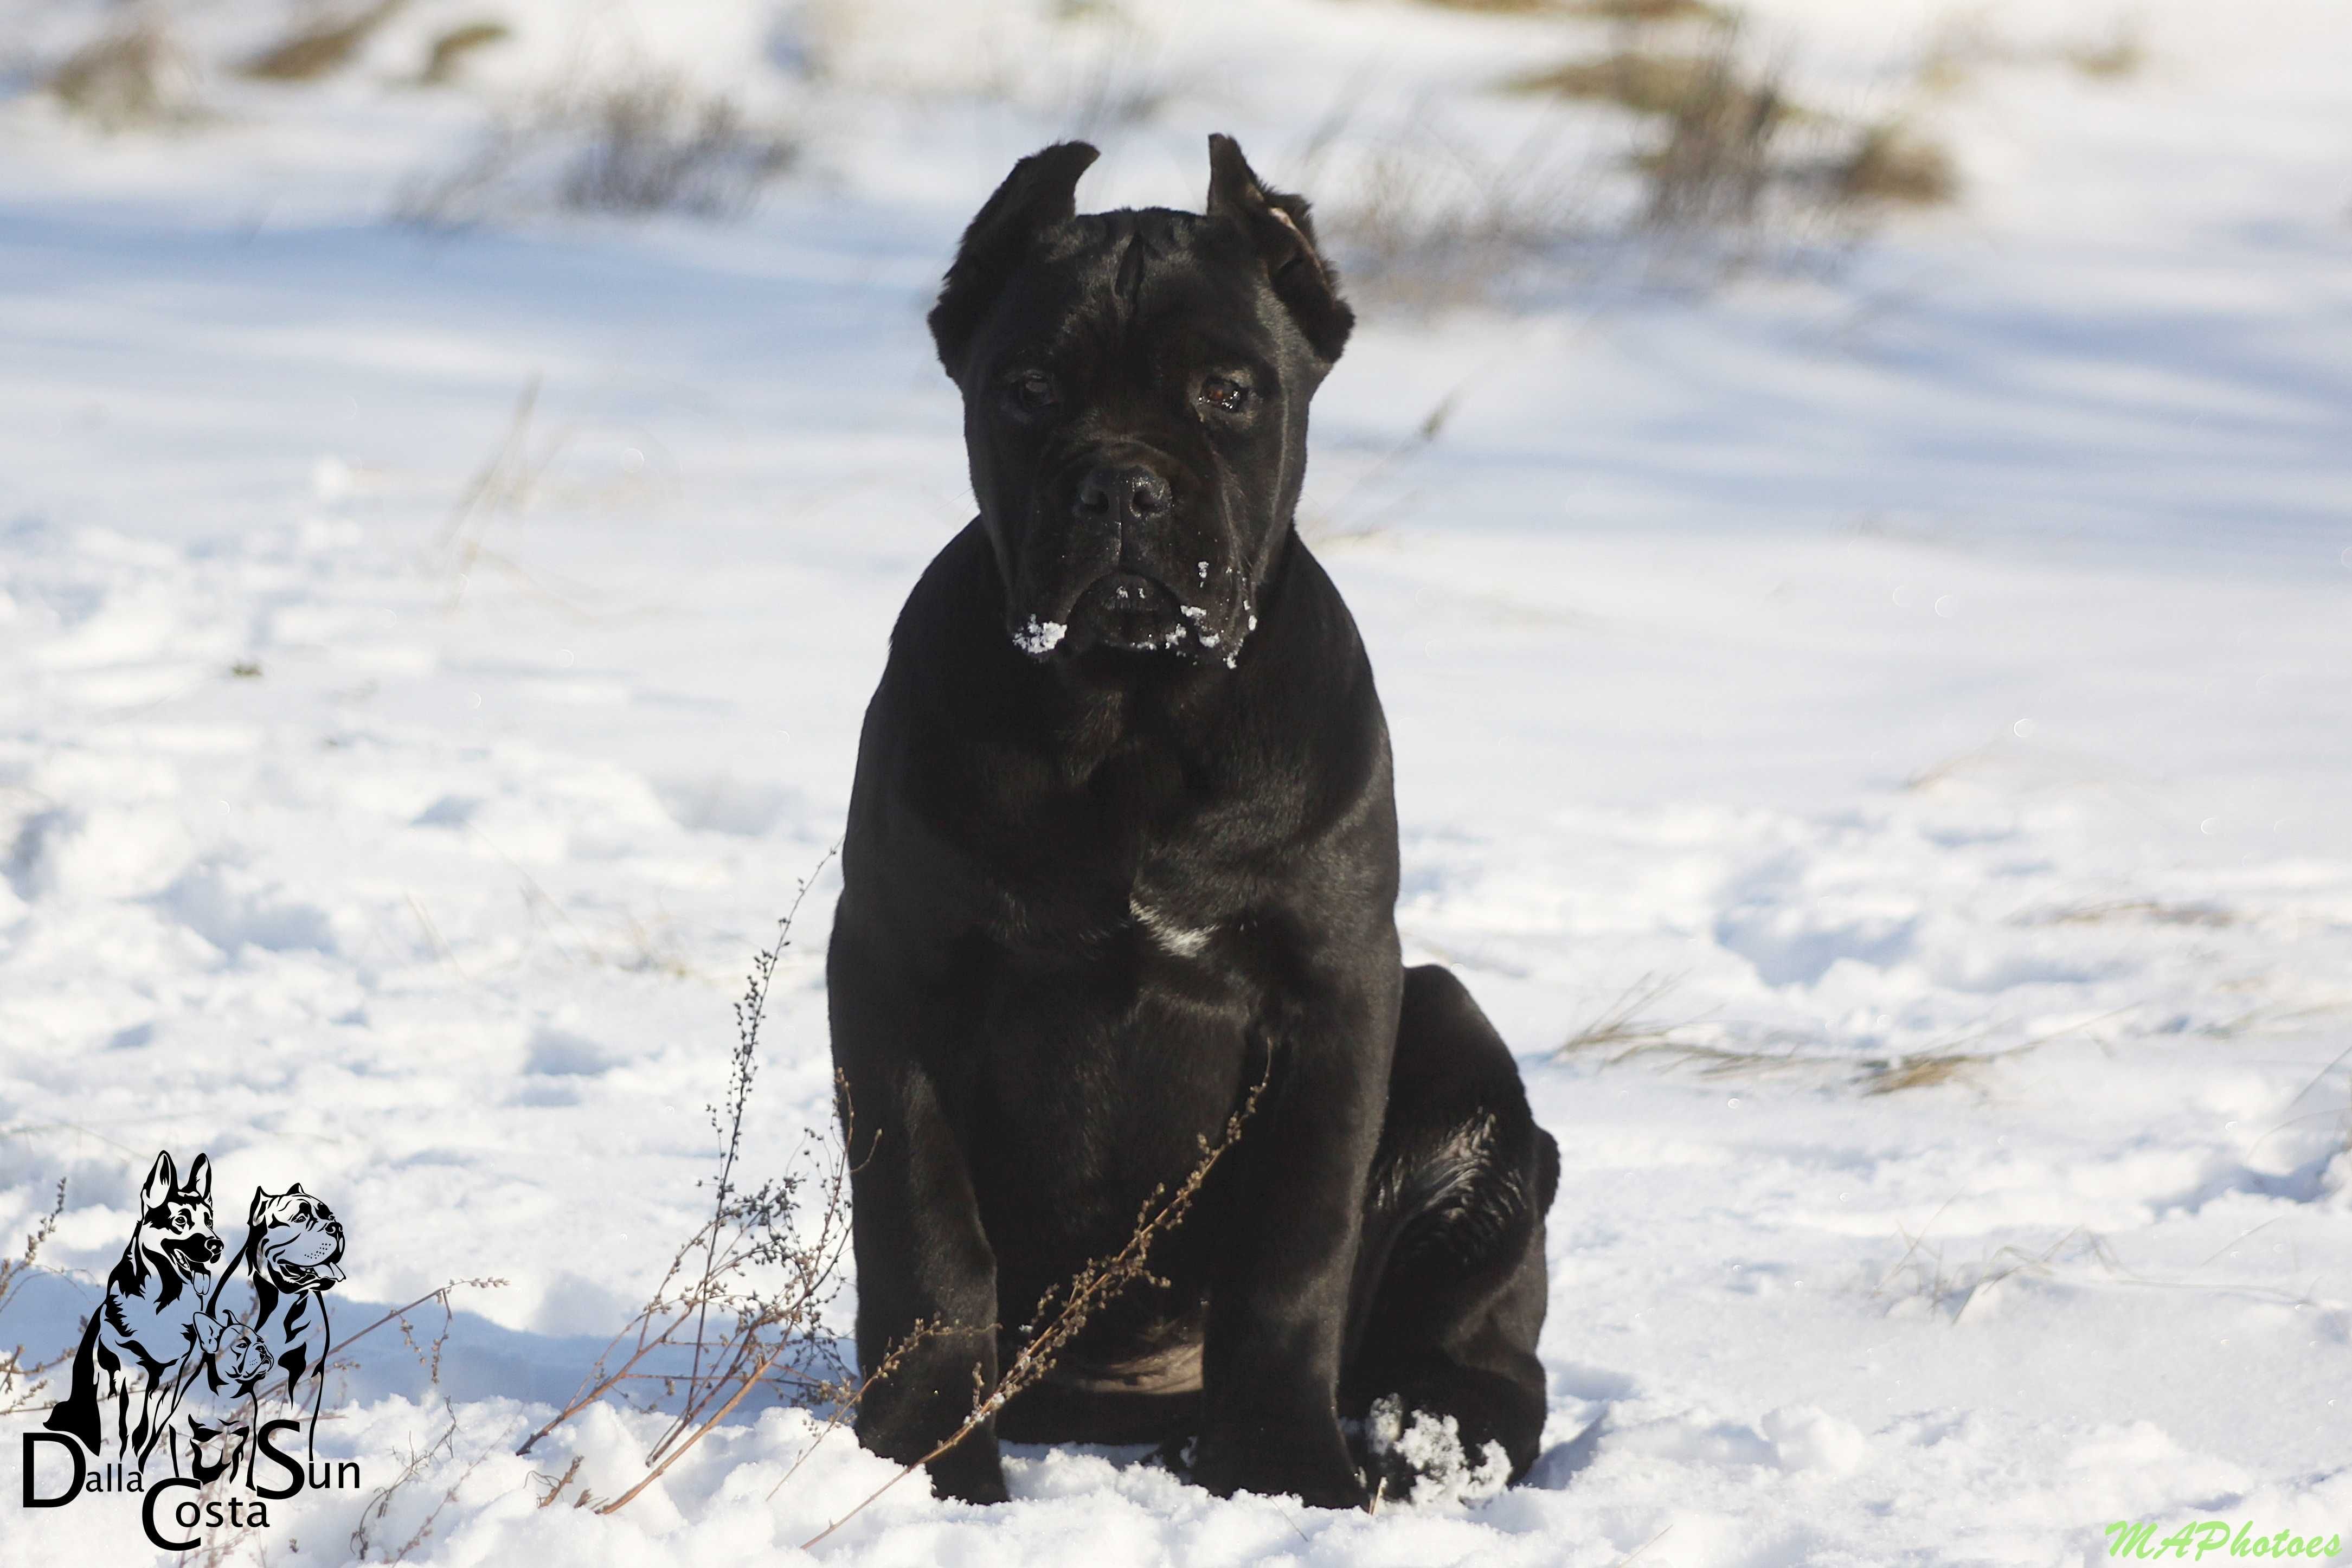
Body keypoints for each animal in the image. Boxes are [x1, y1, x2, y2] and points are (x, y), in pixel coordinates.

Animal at [832, 135, 1561, 1504]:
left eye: (1228, 392)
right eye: (1027, 386)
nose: (1120, 488)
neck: (1128, 724)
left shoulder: (1331, 992)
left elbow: (1293, 1257)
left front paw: (1282, 1473)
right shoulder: (895, 968)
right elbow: (925, 1235)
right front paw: (920, 1460)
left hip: (1449, 1027)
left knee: (1485, 1348)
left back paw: (1417, 1443)